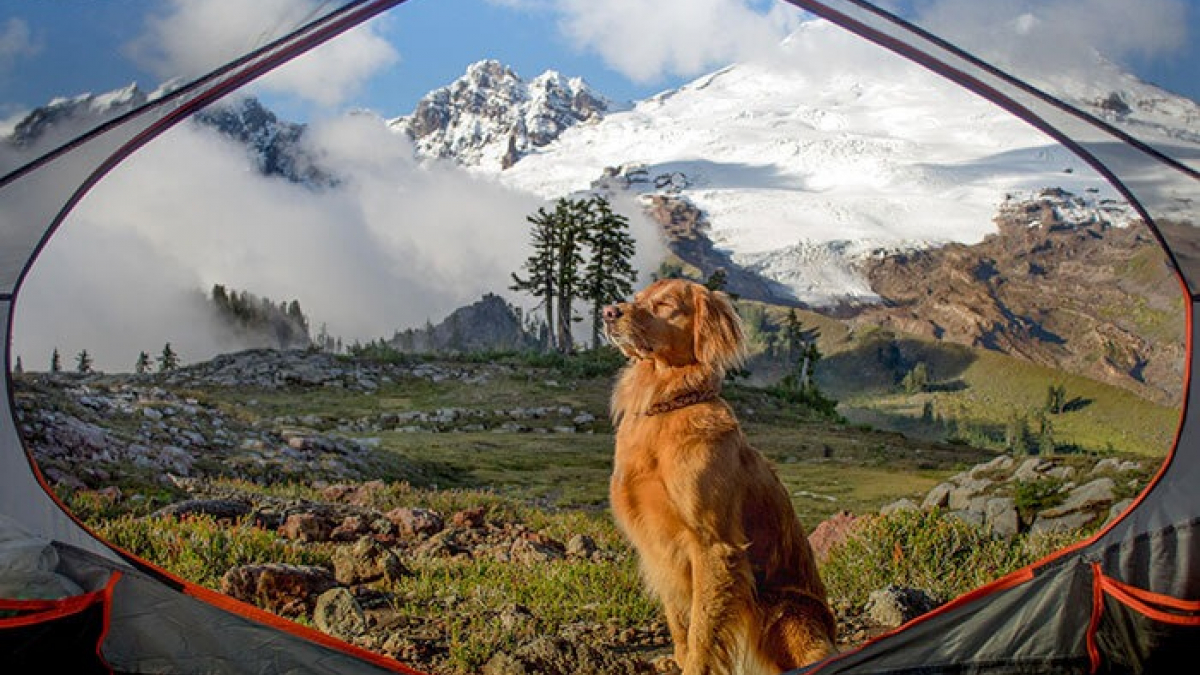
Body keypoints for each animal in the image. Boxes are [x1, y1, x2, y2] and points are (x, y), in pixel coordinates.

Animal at [600, 277, 835, 672]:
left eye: (665, 305)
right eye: (637, 298)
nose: (608, 312)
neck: (665, 404)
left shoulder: (712, 545)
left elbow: (701, 631)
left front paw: (692, 667)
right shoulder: (657, 545)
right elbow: (679, 620)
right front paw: (677, 660)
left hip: (788, 613)